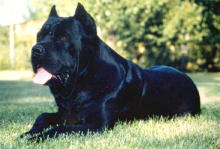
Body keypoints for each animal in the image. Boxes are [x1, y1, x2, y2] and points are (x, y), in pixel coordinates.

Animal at [21, 3, 200, 141]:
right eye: (39, 36)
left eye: (63, 38)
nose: (35, 49)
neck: (80, 84)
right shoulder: (65, 114)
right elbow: (42, 116)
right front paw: (27, 133)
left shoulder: (97, 124)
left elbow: (59, 129)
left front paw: (36, 138)